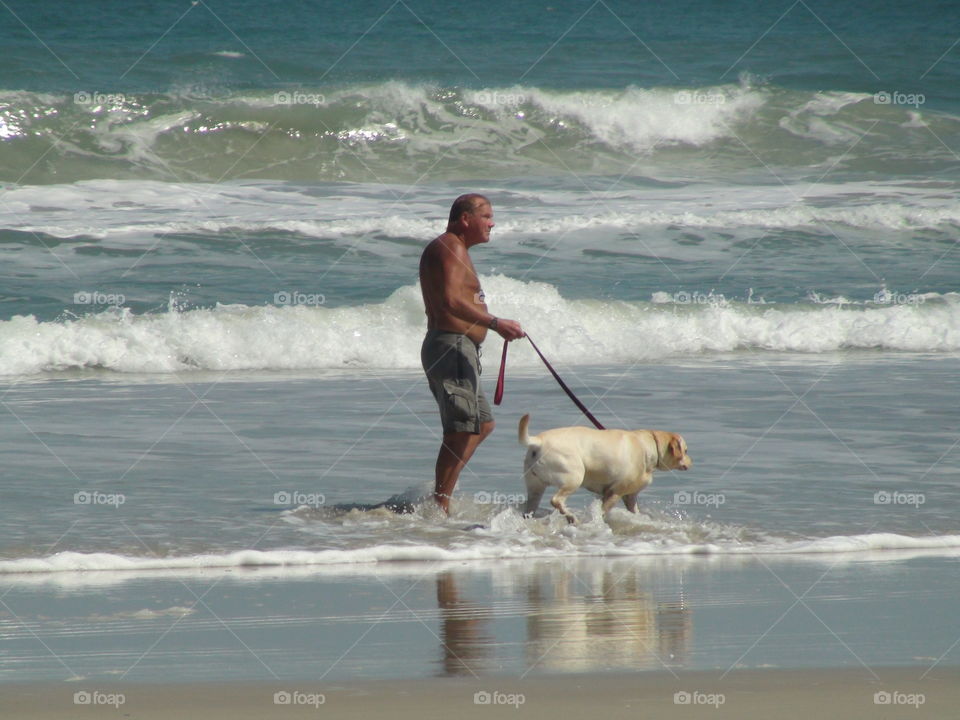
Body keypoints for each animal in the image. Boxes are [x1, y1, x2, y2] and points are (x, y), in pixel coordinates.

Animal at [516, 414, 688, 524]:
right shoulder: (615, 493)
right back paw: (571, 517)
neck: (649, 446)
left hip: (535, 488)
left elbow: (634, 510)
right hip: (574, 477)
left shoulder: (629, 496)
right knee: (556, 500)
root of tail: (538, 442)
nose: (690, 462)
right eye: (685, 451)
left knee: (531, 506)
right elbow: (603, 511)